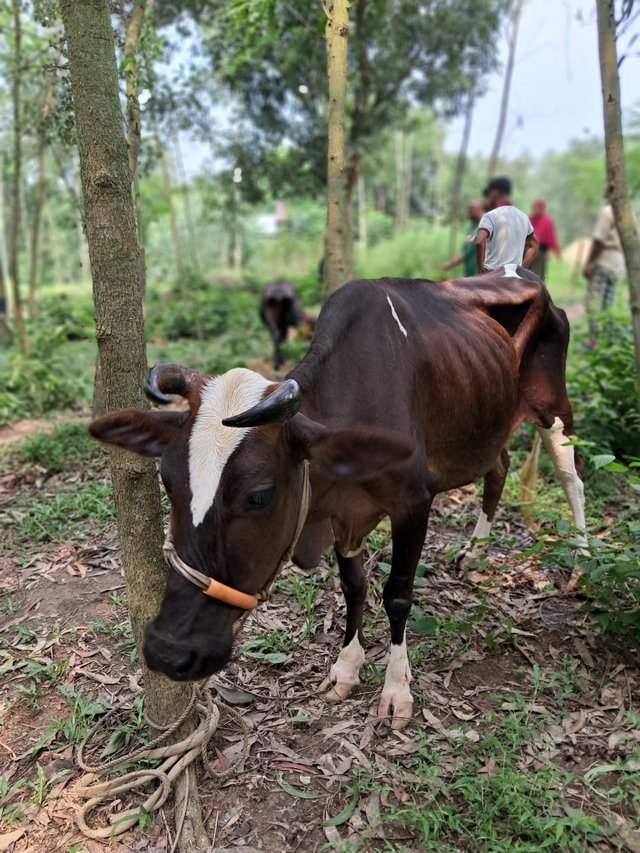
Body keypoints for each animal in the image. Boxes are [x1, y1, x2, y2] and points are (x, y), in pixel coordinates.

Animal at [89, 266, 586, 730]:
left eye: (259, 496)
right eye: (167, 481)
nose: (167, 650)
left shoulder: (414, 501)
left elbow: (397, 594)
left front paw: (396, 690)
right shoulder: (346, 515)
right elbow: (354, 586)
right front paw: (346, 668)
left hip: (553, 406)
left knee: (570, 476)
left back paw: (582, 559)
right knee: (499, 465)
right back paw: (475, 549)